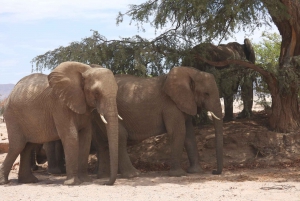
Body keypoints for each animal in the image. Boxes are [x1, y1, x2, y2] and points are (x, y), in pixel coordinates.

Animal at [92, 66, 224, 178]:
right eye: (206, 94)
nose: (214, 171)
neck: (189, 72)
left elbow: (189, 136)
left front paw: (196, 172)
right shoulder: (170, 104)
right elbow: (178, 132)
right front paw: (178, 174)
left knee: (102, 142)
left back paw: (104, 176)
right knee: (120, 136)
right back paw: (132, 175)